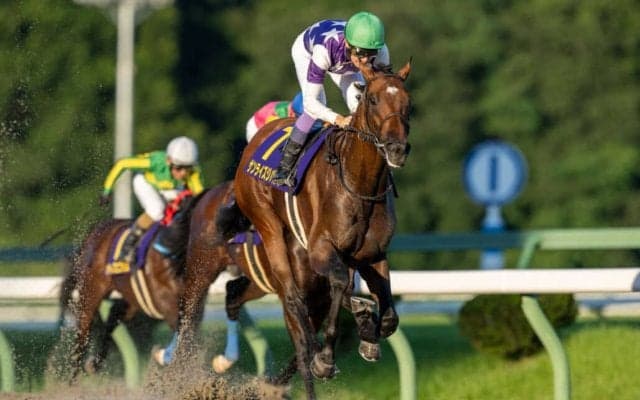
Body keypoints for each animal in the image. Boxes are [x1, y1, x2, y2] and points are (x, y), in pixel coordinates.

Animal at [230, 61, 412, 399]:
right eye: (373, 100)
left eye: (409, 103)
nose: (397, 149)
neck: (359, 184)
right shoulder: (321, 250)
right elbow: (339, 285)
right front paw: (327, 357)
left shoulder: (373, 254)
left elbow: (389, 315)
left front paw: (369, 332)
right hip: (268, 227)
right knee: (296, 311)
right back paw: (316, 354)